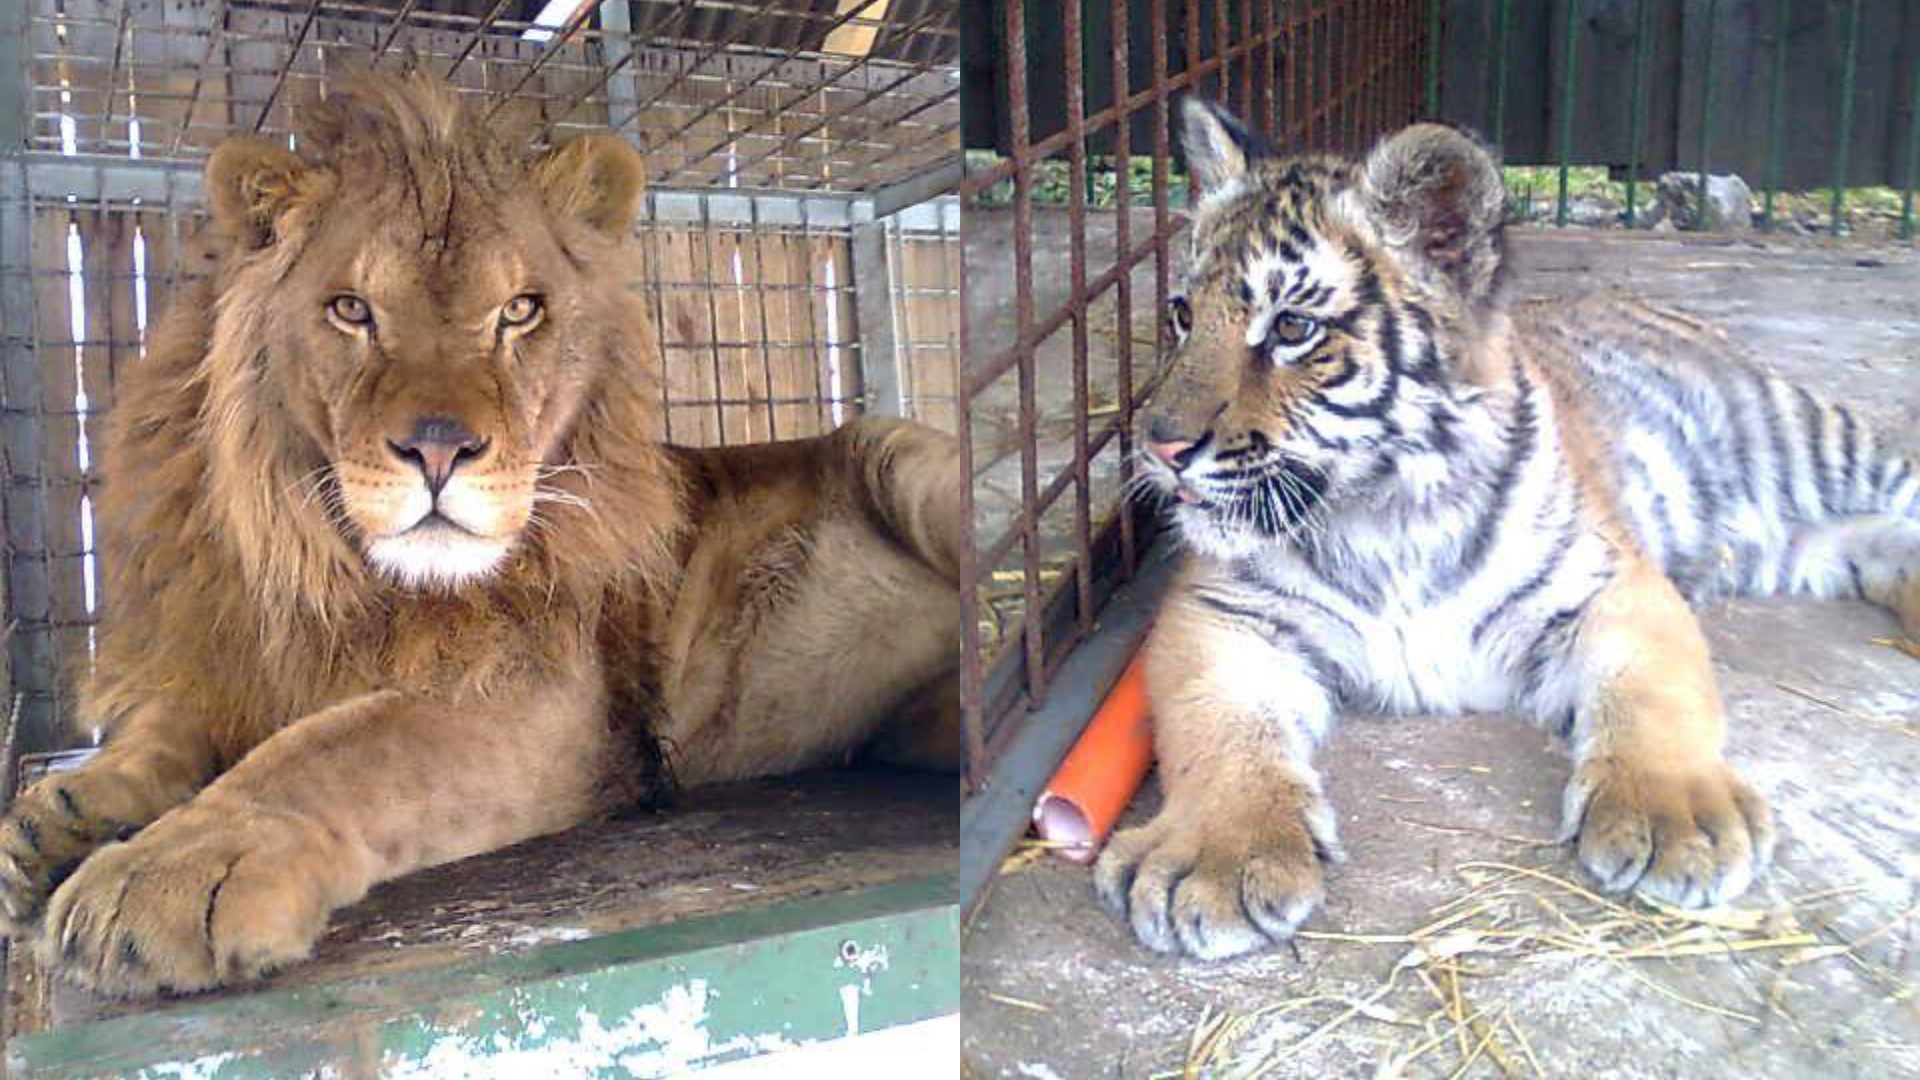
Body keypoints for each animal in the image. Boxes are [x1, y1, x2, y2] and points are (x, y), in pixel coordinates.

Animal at [1093, 96, 1920, 960]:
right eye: (1183, 315)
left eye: (1291, 329)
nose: (1159, 446)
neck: (1384, 514)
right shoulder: (1221, 616)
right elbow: (1214, 728)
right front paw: (1217, 855)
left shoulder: (1616, 587)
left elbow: (1652, 694)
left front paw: (1674, 818)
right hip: (1787, 544)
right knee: (1870, 544)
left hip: (1815, 446)